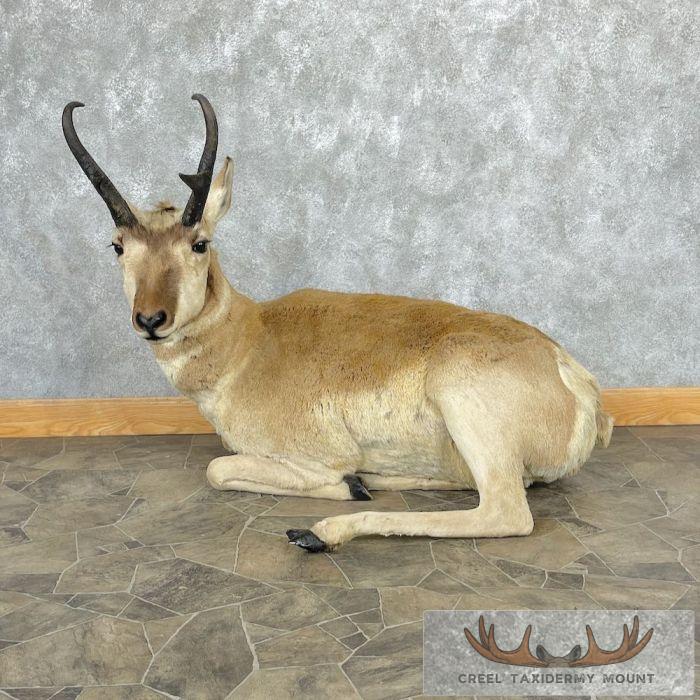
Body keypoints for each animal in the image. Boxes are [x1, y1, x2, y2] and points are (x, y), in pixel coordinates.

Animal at [63, 94, 613, 552]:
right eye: (118, 246)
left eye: (199, 243)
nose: (150, 318)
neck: (250, 340)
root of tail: (574, 377)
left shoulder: (311, 456)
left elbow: (219, 469)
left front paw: (348, 486)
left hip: (466, 408)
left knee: (503, 510)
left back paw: (323, 529)